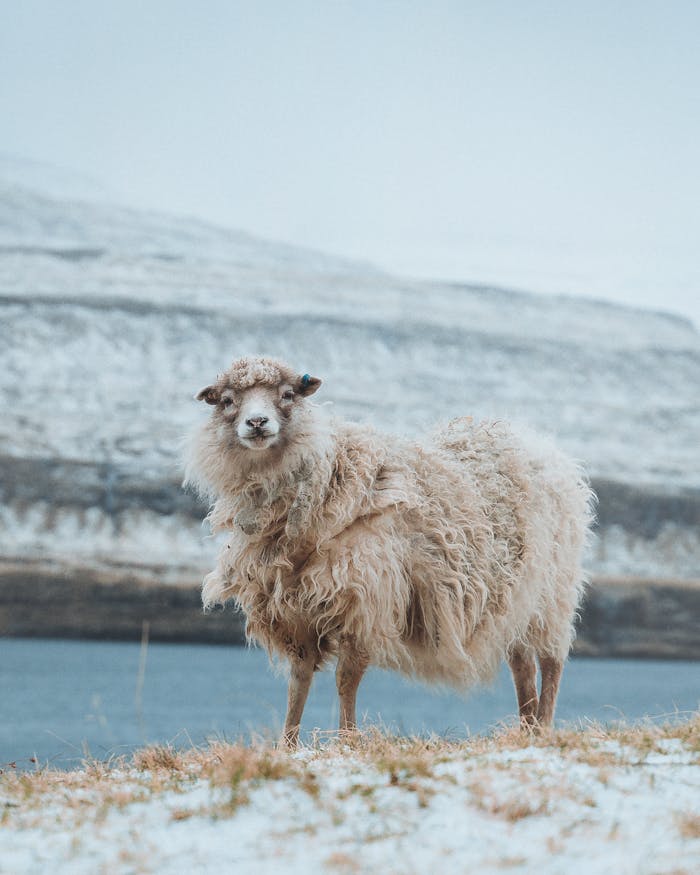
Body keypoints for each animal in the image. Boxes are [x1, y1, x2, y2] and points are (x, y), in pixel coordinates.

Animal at [185, 355, 595, 746]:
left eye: (287, 395)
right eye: (227, 401)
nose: (257, 422)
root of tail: (540, 444)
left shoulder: (365, 601)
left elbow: (346, 679)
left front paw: (347, 740)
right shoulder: (294, 613)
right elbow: (298, 682)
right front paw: (287, 745)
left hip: (553, 592)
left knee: (551, 660)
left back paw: (543, 726)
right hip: (516, 599)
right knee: (522, 664)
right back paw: (527, 729)